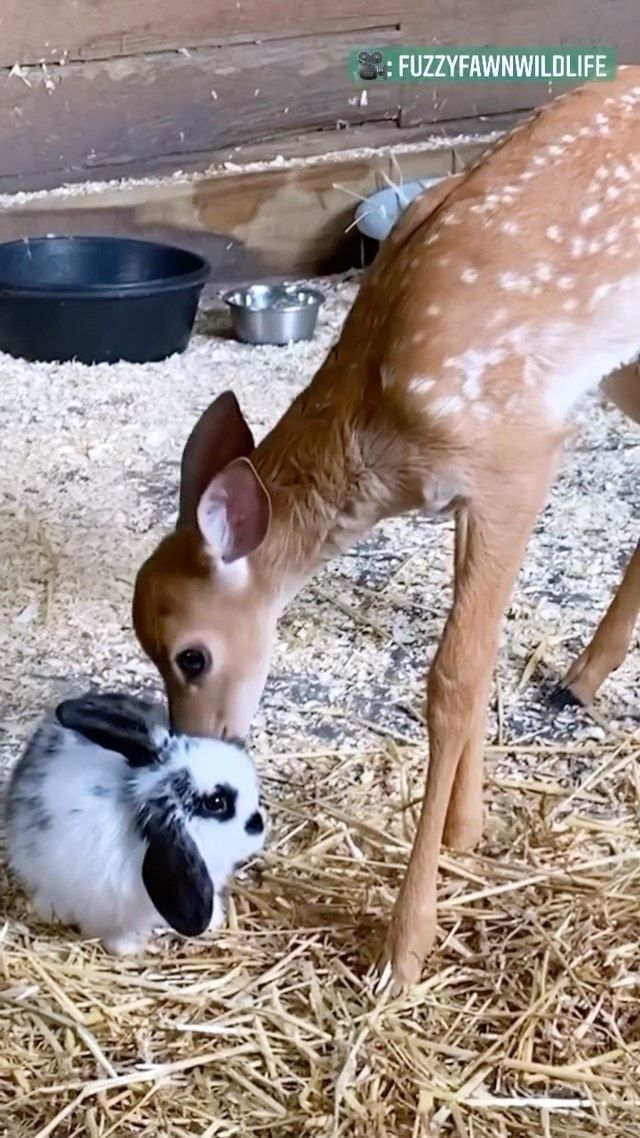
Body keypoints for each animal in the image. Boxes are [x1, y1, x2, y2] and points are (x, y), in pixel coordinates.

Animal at [132, 68, 640, 989]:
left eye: (192, 656)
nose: (200, 752)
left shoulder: (517, 456)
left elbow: (452, 680)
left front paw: (408, 943)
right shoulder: (469, 495)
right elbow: (480, 660)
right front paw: (469, 832)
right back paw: (583, 677)